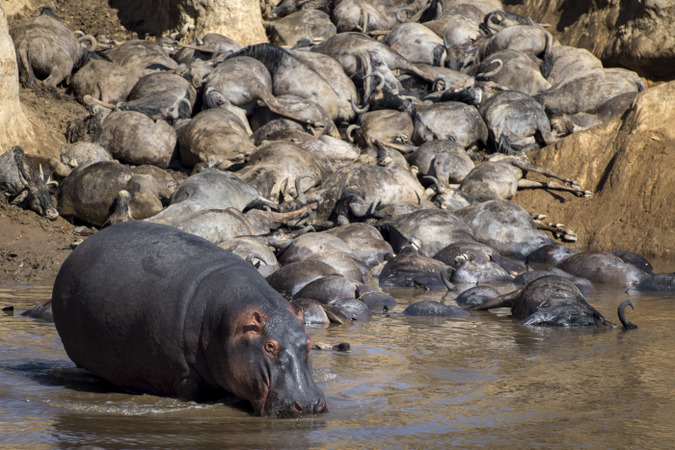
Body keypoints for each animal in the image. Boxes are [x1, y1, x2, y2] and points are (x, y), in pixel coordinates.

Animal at [51, 221, 326, 418]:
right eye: (269, 346)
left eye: (309, 343)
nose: (309, 405)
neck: (230, 326)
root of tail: (77, 250)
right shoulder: (183, 377)